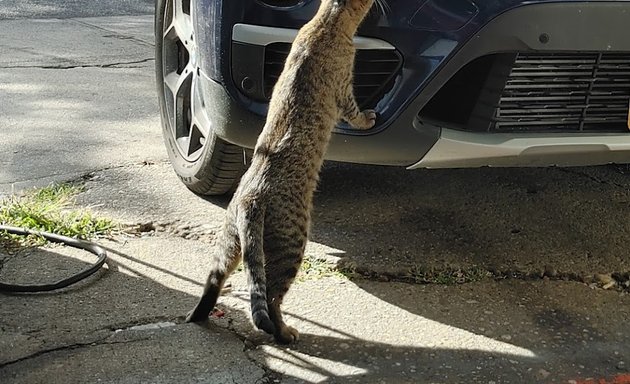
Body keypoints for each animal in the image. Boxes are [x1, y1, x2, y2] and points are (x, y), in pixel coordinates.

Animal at [185, 0, 378, 344]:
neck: (325, 23)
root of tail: (249, 200)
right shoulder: (344, 91)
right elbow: (356, 115)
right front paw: (369, 118)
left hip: (231, 243)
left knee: (214, 278)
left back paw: (199, 315)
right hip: (292, 242)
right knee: (272, 297)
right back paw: (284, 332)